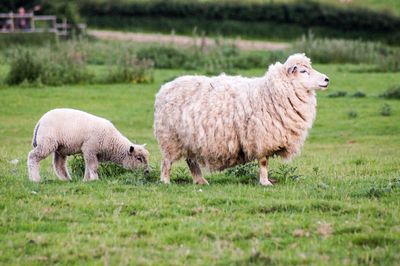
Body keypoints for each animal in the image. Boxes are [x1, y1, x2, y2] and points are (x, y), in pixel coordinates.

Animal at [153, 53, 328, 186]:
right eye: (303, 71)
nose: (327, 79)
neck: (270, 92)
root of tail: (164, 89)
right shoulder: (260, 136)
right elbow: (263, 162)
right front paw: (265, 183)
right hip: (171, 137)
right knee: (167, 161)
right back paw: (166, 181)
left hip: (190, 139)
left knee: (191, 161)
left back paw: (200, 180)